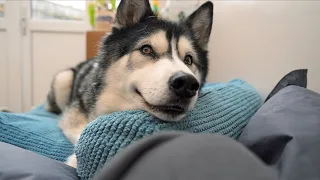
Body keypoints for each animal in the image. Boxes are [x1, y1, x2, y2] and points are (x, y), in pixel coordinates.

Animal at [45, 0, 212, 167]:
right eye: (146, 49)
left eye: (188, 59)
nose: (187, 83)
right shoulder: (73, 114)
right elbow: (81, 130)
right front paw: (76, 159)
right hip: (63, 78)